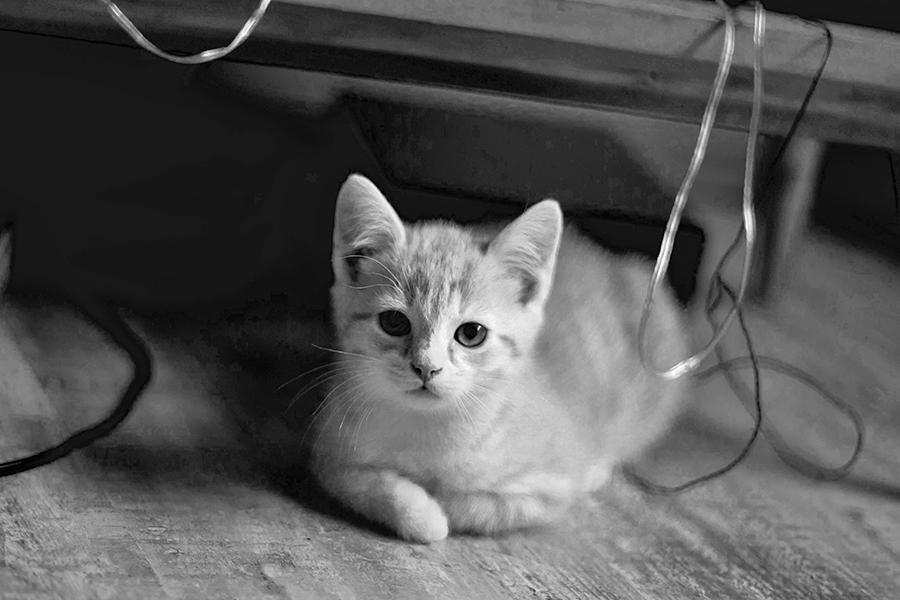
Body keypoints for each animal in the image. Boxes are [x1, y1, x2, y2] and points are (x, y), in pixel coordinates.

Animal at [310, 175, 688, 544]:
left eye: (471, 333)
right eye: (394, 322)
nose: (426, 367)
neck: (430, 428)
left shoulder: (552, 486)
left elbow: (476, 504)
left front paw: (441, 504)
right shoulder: (328, 452)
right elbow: (361, 484)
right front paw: (420, 513)